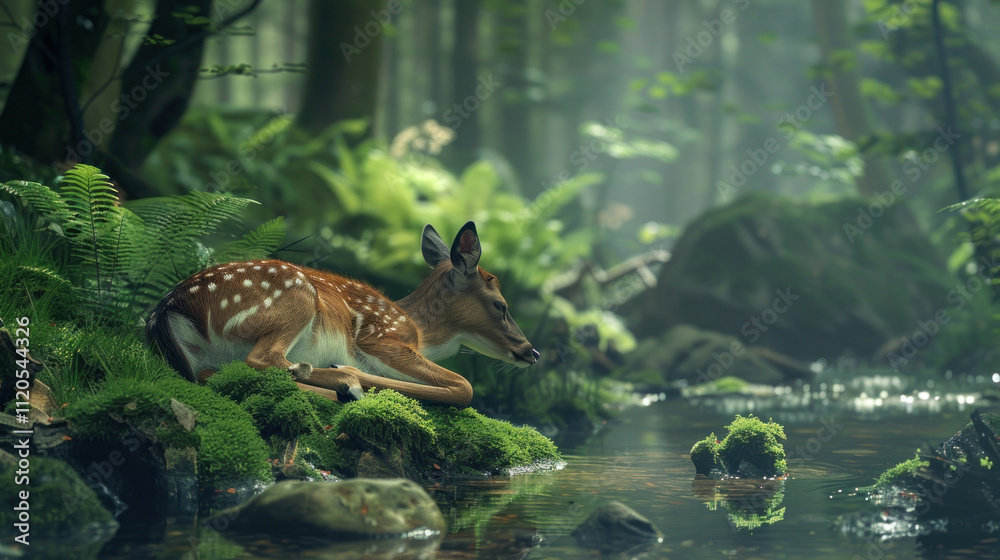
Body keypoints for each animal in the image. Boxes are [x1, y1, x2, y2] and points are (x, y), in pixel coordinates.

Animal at [146, 222, 539, 406]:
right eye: (501, 305)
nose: (531, 351)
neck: (423, 331)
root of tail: (170, 309)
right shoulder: (381, 338)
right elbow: (464, 386)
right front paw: (353, 373)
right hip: (295, 295)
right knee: (262, 359)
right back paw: (344, 381)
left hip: (206, 356)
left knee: (214, 375)